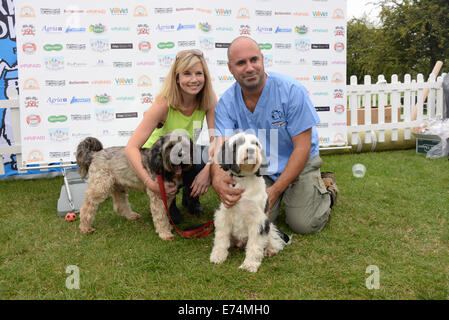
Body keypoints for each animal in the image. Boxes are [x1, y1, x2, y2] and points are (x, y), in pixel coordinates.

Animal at [210, 132, 290, 272]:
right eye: (238, 143)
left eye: (255, 143)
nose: (251, 150)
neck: (244, 180)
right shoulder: (224, 214)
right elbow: (221, 238)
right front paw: (218, 255)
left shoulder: (258, 220)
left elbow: (255, 245)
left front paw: (250, 264)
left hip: (269, 226)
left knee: (275, 241)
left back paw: (270, 250)